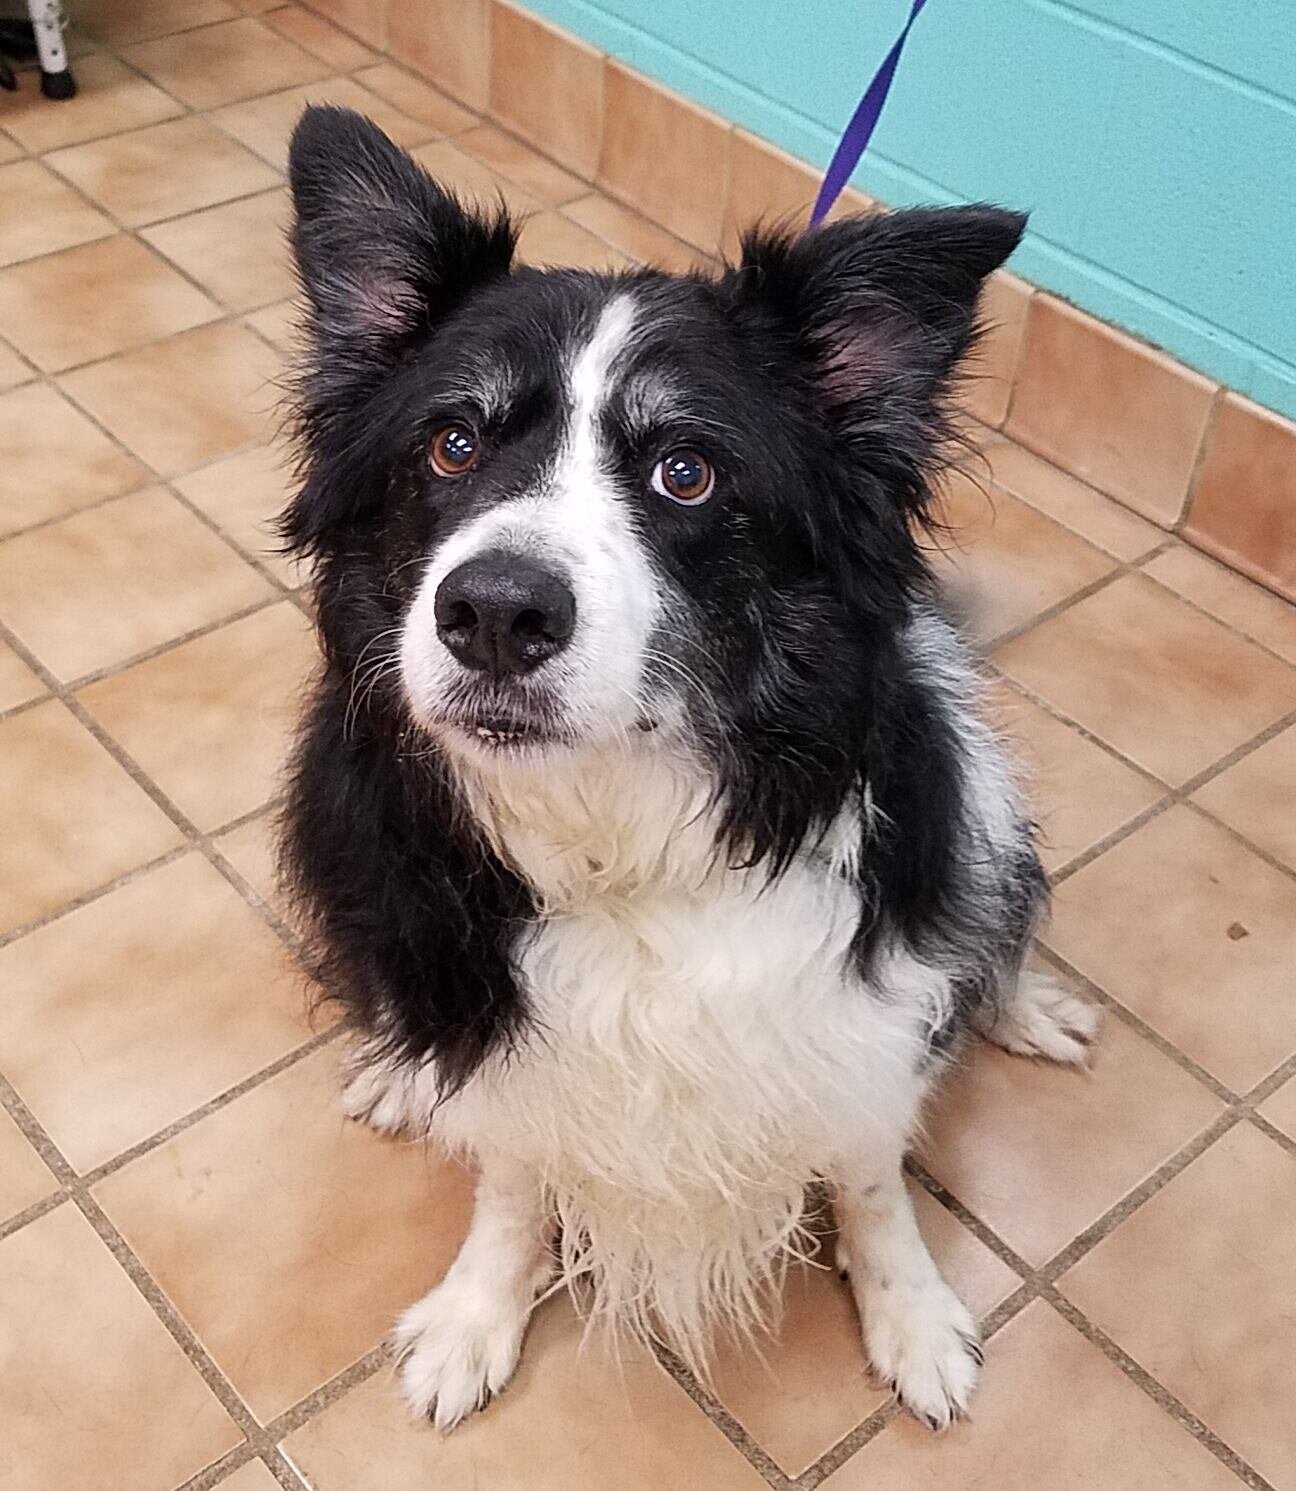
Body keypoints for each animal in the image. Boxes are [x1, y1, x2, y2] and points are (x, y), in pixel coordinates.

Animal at [280, 105, 1091, 1431]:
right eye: (451, 444)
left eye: (686, 473)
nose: (494, 614)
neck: (621, 833)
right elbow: (512, 1173)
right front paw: (476, 1311)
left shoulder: (857, 1018)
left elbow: (872, 1173)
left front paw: (911, 1314)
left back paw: (1030, 1005)